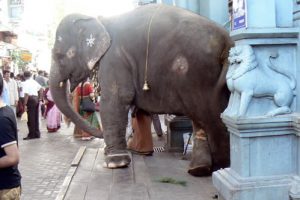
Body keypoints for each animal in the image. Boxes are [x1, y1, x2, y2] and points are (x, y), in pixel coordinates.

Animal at [50, 3, 234, 177]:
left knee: (211, 117)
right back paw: (198, 170)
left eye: (60, 56)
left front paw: (115, 163)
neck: (99, 20)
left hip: (199, 74)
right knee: (200, 118)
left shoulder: (114, 59)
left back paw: (220, 169)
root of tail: (227, 41)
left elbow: (116, 99)